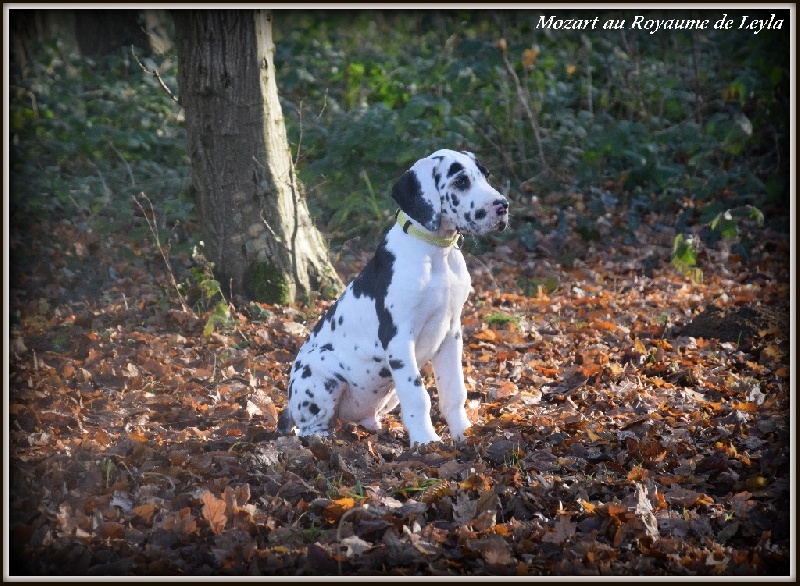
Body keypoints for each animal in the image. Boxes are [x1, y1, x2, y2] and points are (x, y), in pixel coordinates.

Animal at [277, 150, 509, 445]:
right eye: (460, 182)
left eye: (485, 175)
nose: (502, 206)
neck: (437, 253)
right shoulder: (398, 338)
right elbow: (418, 395)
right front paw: (426, 441)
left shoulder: (451, 333)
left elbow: (454, 389)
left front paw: (463, 432)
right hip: (320, 372)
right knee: (308, 427)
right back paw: (324, 441)